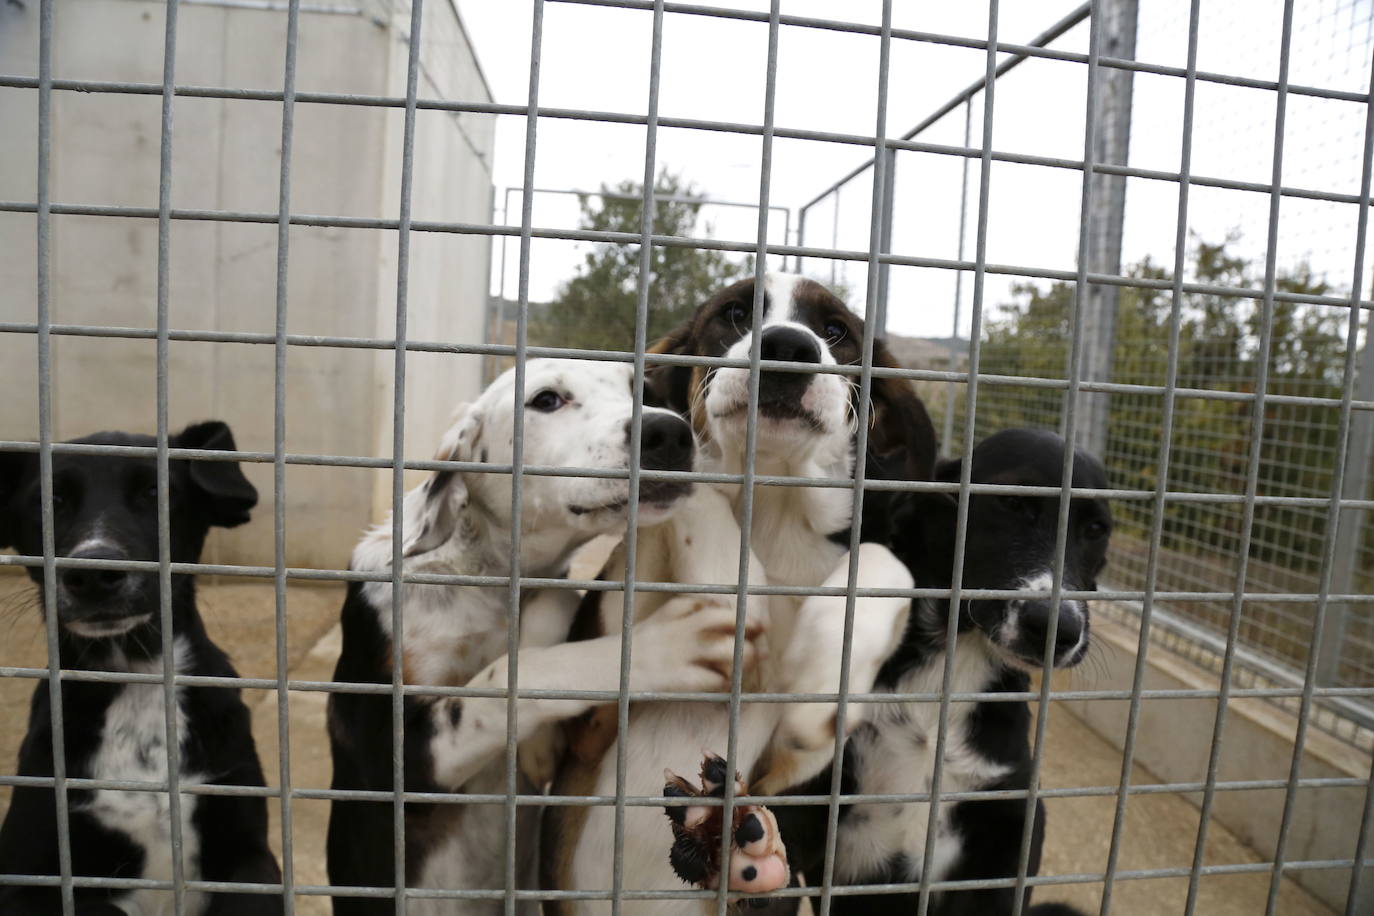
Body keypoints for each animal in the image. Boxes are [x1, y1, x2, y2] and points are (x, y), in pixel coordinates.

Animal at [0, 422, 284, 916]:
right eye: (49, 499)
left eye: (156, 491)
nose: (93, 575)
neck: (136, 680)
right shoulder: (25, 880)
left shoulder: (251, 855)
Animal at [331, 359, 763, 916]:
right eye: (546, 400)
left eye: (641, 390)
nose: (669, 433)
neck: (485, 575)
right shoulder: (395, 759)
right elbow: (503, 680)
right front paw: (672, 646)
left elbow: (550, 609)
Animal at [541, 274, 939, 916]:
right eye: (733, 314)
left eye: (836, 332)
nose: (789, 346)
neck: (773, 515)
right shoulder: (586, 731)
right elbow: (696, 489)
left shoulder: (793, 768)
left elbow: (883, 564)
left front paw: (822, 674)